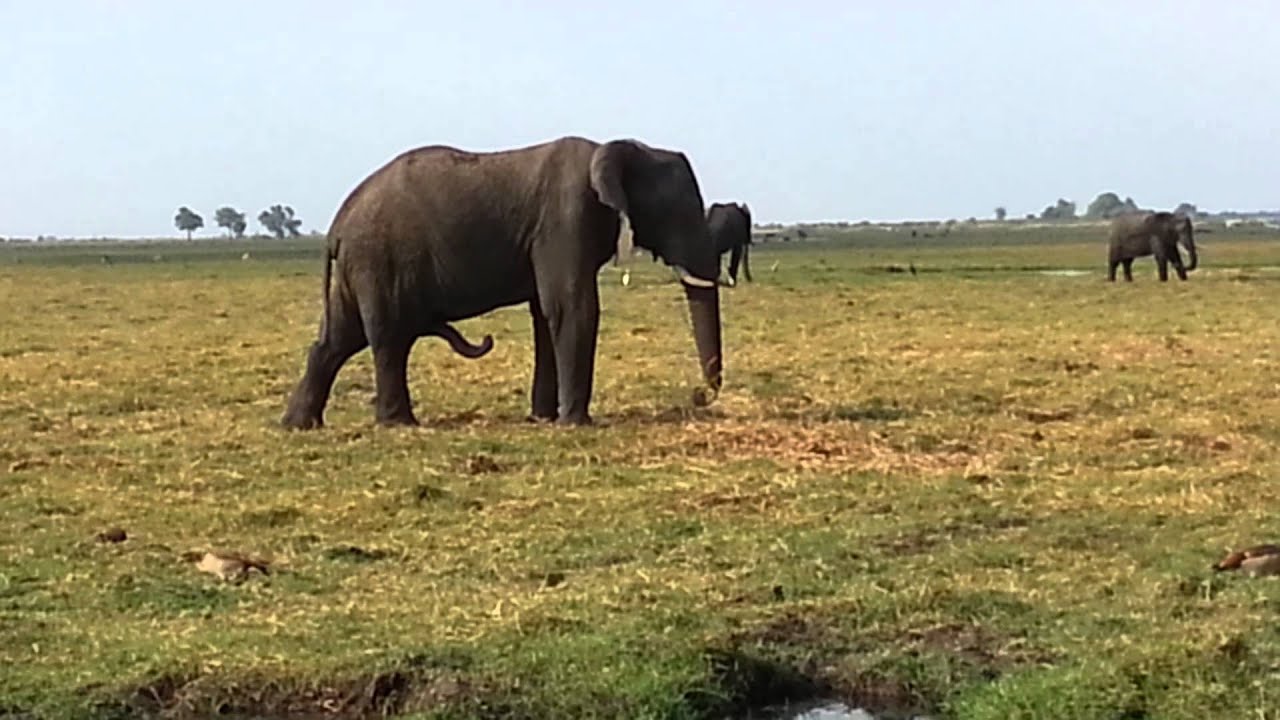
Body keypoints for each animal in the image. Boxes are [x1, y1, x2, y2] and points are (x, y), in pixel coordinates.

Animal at [281, 136, 724, 430]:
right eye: (679, 211)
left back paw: (299, 425)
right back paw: (400, 425)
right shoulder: (566, 220)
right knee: (387, 337)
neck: (614, 148)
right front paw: (575, 424)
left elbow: (546, 314)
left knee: (339, 338)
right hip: (378, 260)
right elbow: (571, 307)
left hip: (359, 268)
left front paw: (543, 419)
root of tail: (336, 226)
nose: (702, 396)